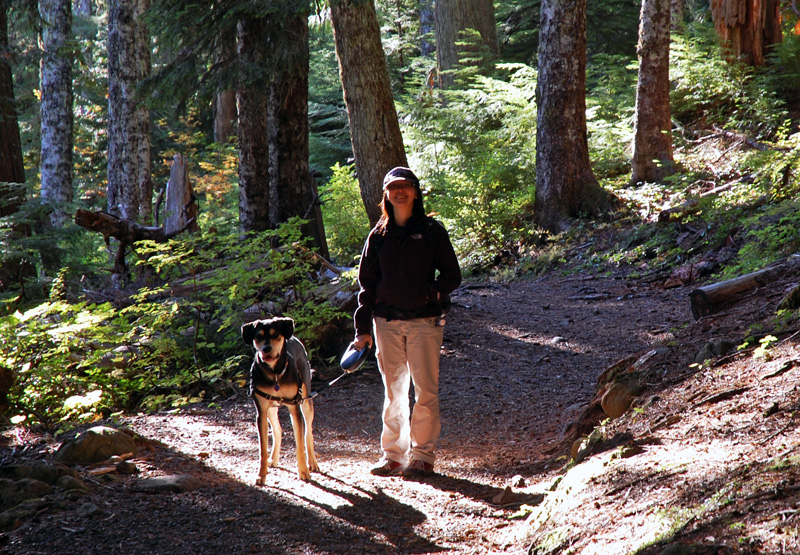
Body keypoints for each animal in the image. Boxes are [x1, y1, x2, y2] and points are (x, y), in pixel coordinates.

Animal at [241, 318, 318, 482]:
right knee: (278, 430)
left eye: (276, 335)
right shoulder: (262, 412)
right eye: (258, 337)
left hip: (306, 401)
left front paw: (303, 471)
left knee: (308, 432)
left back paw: (312, 462)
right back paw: (274, 458)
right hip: (271, 408)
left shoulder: (295, 407)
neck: (275, 373)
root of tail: (293, 337)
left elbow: (300, 444)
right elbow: (263, 449)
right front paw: (261, 474)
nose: (266, 349)